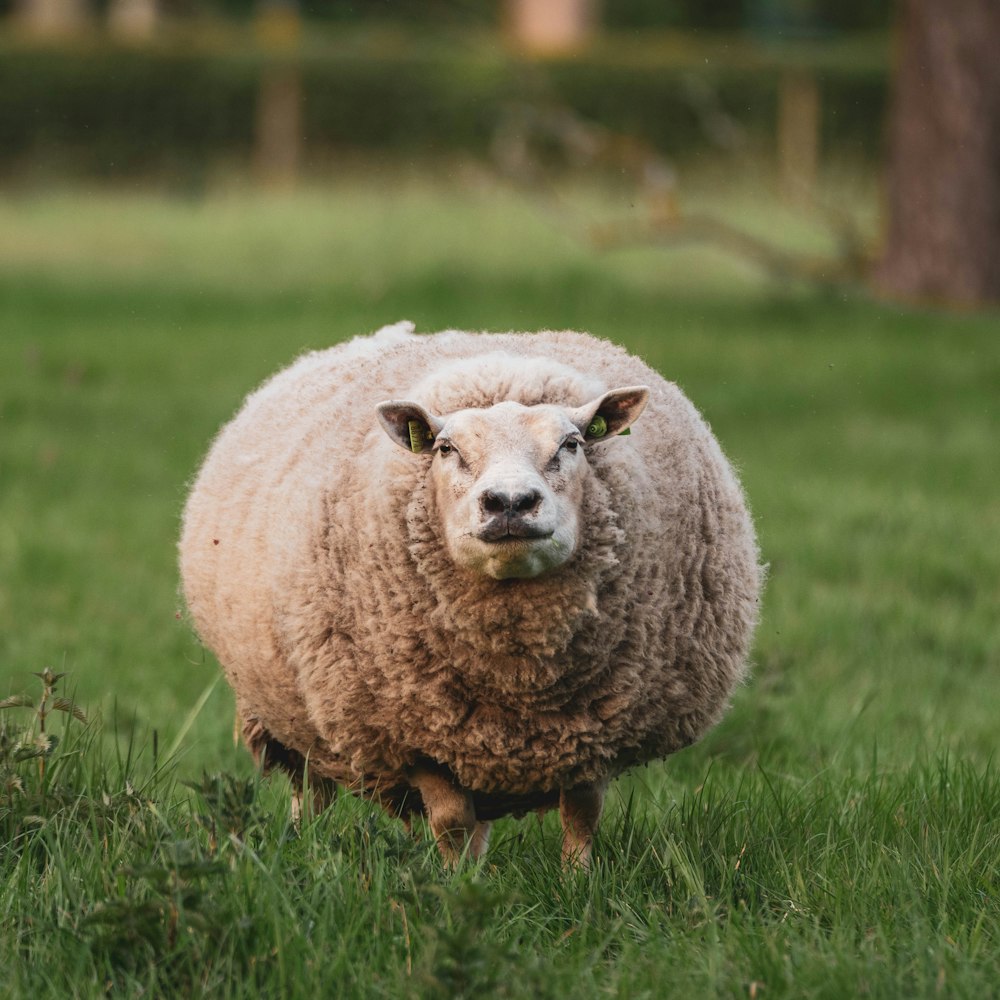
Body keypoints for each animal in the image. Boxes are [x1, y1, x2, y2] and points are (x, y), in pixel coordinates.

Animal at [180, 322, 760, 868]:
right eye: (445, 449)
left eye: (571, 443)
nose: (510, 502)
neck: (517, 670)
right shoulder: (419, 736)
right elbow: (452, 822)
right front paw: (458, 885)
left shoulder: (595, 731)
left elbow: (581, 816)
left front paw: (578, 883)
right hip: (286, 713)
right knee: (310, 787)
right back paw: (308, 844)